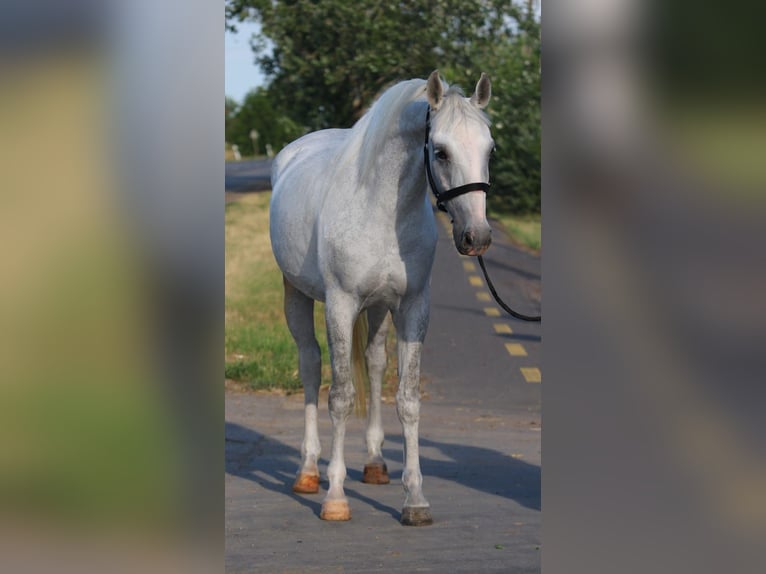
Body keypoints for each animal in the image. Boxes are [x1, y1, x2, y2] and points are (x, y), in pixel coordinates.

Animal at [269, 71, 494, 526]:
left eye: (490, 148)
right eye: (440, 151)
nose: (476, 236)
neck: (383, 211)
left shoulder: (413, 308)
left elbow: (407, 399)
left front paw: (416, 500)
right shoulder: (340, 305)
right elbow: (339, 397)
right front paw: (335, 498)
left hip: (377, 310)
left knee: (374, 365)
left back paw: (374, 463)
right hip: (297, 295)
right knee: (310, 363)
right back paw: (307, 471)